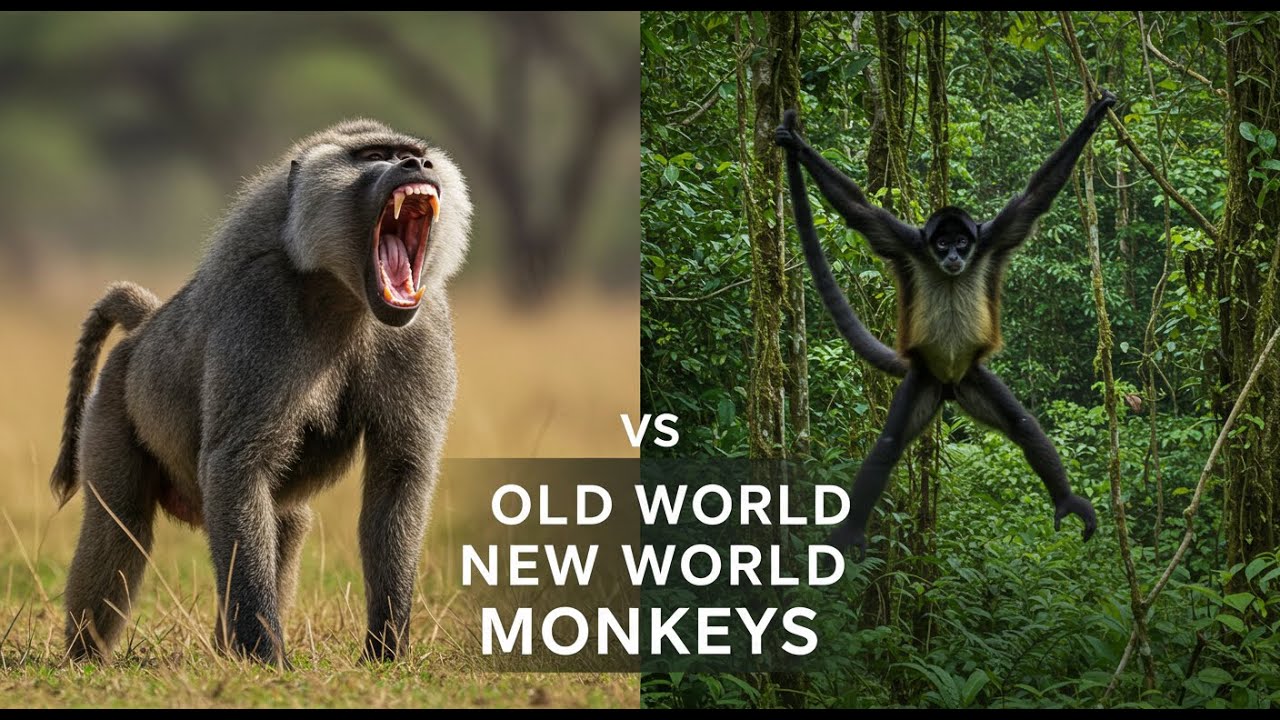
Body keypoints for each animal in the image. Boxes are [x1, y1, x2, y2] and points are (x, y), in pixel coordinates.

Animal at [49, 119, 472, 664]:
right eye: (374, 155)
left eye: (411, 152)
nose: (417, 164)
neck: (346, 296)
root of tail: (145, 329)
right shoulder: (262, 305)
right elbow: (237, 464)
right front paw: (267, 658)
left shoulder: (426, 322)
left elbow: (400, 473)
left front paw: (386, 648)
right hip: (111, 407)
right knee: (119, 524)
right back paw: (87, 656)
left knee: (286, 526)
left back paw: (223, 650)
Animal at [774, 90, 1117, 560]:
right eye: (940, 244)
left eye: (961, 242)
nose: (954, 256)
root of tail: (950, 384)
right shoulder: (909, 243)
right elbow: (859, 210)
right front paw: (796, 145)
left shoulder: (991, 238)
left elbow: (1035, 197)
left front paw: (1093, 119)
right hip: (924, 378)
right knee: (887, 448)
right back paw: (849, 532)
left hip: (973, 377)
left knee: (1022, 425)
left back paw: (1065, 500)